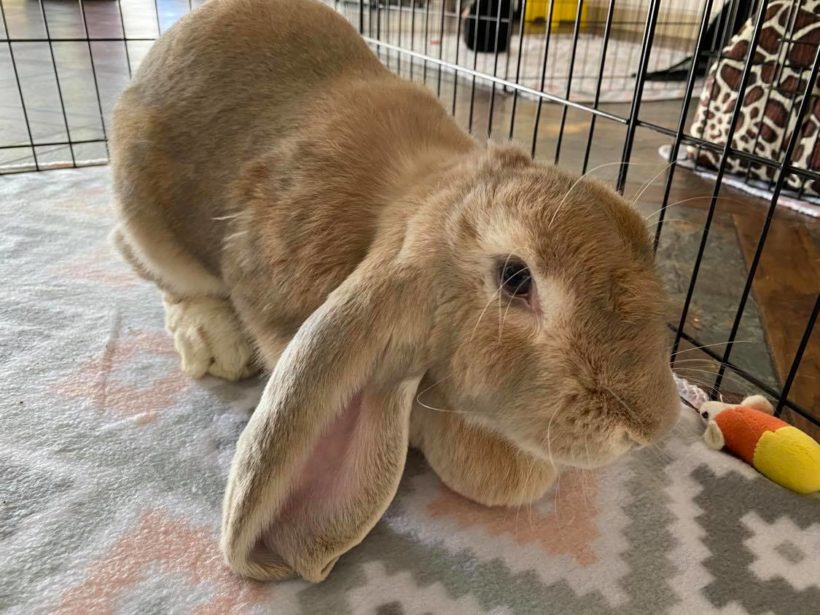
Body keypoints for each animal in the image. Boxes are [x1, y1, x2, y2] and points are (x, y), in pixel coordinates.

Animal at [109, 0, 681, 583]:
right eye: (516, 279)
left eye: (638, 233)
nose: (652, 425)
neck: (421, 189)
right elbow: (505, 477)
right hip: (146, 223)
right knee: (143, 261)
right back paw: (212, 340)